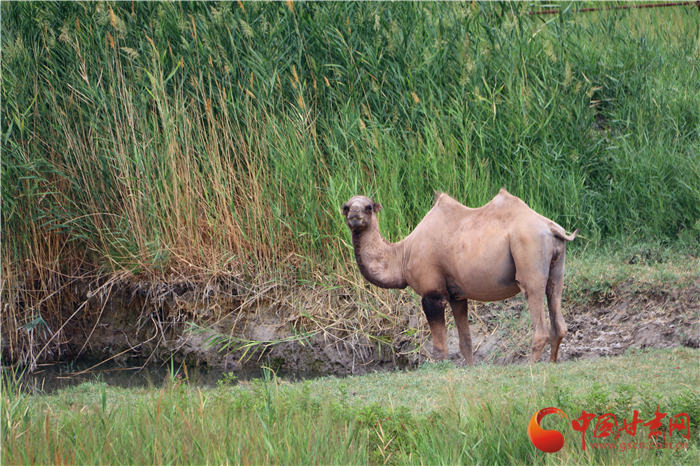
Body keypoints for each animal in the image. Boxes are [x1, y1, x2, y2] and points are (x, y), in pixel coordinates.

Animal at [342, 188, 576, 364]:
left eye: (368, 207)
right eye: (346, 206)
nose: (354, 215)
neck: (402, 255)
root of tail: (551, 228)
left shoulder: (433, 294)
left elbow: (440, 349)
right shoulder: (457, 295)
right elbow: (466, 343)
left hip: (529, 253)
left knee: (539, 320)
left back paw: (530, 368)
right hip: (557, 270)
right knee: (558, 316)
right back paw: (552, 364)